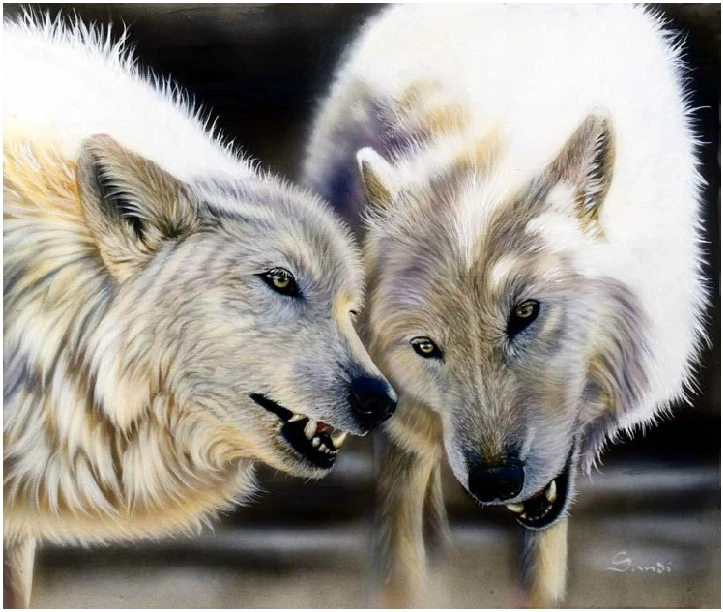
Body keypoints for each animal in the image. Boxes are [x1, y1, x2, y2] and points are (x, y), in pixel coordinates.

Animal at [304, 4, 707, 607]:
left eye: (525, 314)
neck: (480, 150)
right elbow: (399, 550)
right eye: (426, 347)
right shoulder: (401, 427)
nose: (495, 482)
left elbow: (542, 562)